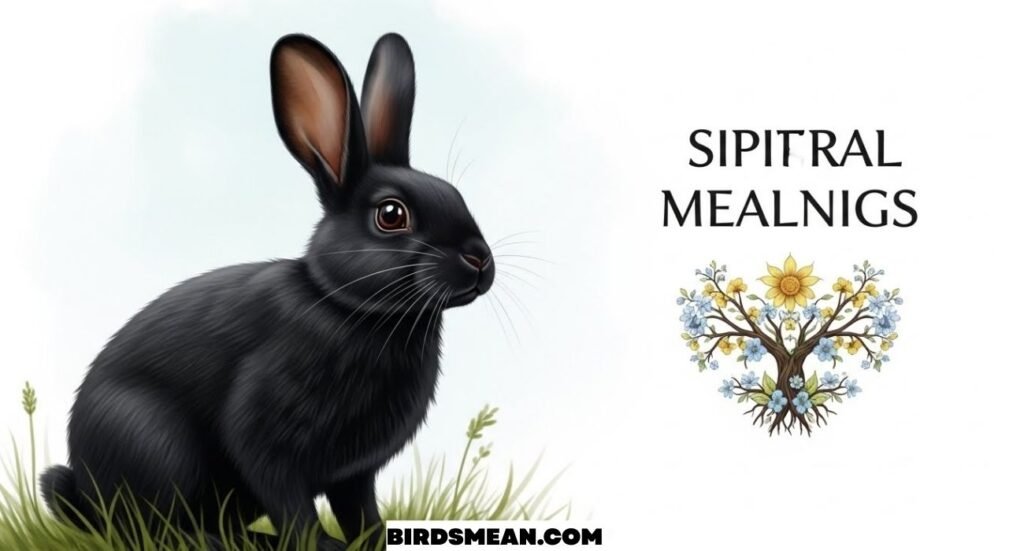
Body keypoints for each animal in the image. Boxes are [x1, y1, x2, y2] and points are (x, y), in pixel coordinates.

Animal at [40, 32, 494, 550]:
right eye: (392, 214)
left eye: (456, 195)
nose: (479, 258)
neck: (351, 307)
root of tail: (85, 488)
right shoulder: (267, 441)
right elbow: (292, 504)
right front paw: (322, 546)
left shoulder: (354, 474)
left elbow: (359, 511)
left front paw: (376, 541)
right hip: (154, 441)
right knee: (153, 526)